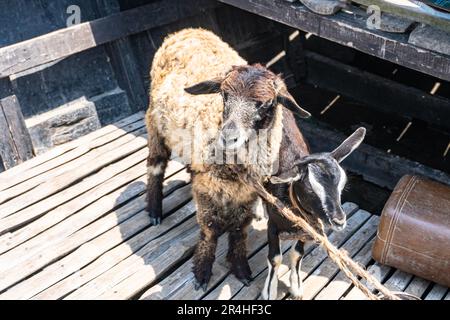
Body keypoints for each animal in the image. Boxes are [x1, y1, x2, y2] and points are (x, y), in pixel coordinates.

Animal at [146, 28, 312, 292]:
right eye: (224, 95)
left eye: (266, 103)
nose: (228, 137)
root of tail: (185, 31)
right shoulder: (207, 186)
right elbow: (210, 229)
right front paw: (202, 272)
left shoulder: (249, 191)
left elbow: (239, 227)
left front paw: (240, 267)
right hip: (154, 123)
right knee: (155, 165)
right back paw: (154, 210)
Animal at [260, 126, 366, 298]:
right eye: (310, 190)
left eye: (342, 186)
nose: (339, 221)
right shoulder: (272, 224)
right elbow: (275, 258)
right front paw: (270, 292)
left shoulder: (308, 226)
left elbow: (297, 254)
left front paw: (296, 287)